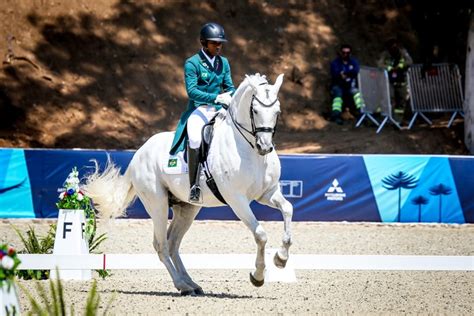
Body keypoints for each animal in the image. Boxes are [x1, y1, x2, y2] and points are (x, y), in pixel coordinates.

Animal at [83, 73, 294, 296]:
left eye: (277, 111)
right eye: (255, 110)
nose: (265, 147)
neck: (250, 150)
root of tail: (138, 154)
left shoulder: (267, 193)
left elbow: (288, 209)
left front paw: (281, 258)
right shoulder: (237, 200)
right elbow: (260, 235)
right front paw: (258, 276)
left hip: (187, 208)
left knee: (173, 243)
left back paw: (191, 284)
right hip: (157, 204)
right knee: (161, 245)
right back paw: (181, 284)